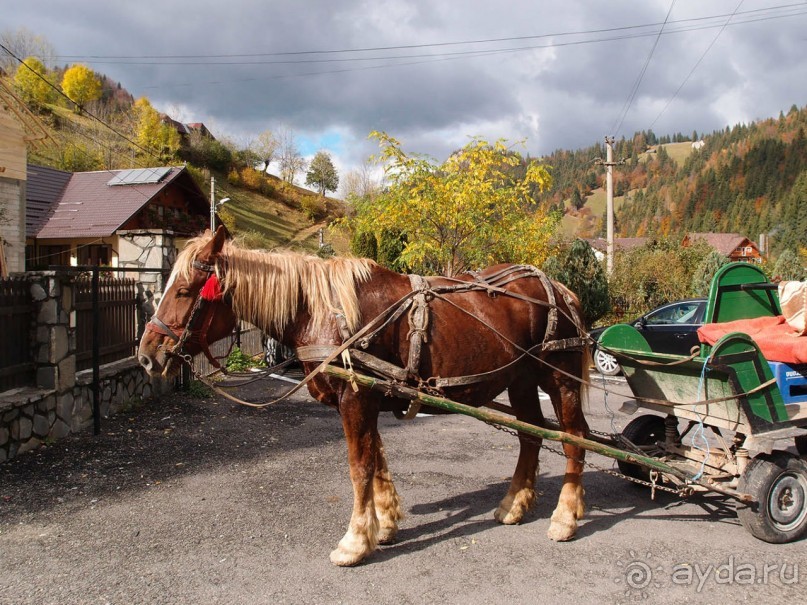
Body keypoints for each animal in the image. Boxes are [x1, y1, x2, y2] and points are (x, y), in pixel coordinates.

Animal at [139, 228, 592, 568]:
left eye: (183, 291)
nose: (147, 354)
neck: (323, 310)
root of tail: (560, 289)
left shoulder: (354, 400)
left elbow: (360, 467)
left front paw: (355, 541)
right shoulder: (368, 398)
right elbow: (376, 461)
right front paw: (385, 524)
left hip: (559, 381)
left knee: (573, 440)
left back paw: (565, 517)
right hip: (521, 382)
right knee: (531, 437)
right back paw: (514, 504)